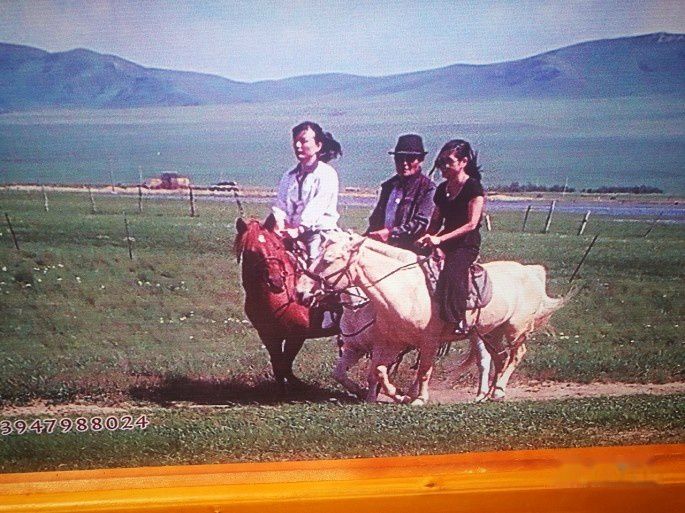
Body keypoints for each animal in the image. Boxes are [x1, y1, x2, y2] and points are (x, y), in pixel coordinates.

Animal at [234, 216, 338, 393]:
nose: (276, 282)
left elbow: (286, 365)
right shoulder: (268, 335)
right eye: (251, 251)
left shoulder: (296, 335)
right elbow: (278, 366)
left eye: (276, 246)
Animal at [296, 231, 572, 405]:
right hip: (488, 333)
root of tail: (531, 272)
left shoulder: (427, 343)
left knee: (516, 355)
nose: (300, 292)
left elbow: (422, 371)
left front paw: (417, 398)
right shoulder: (386, 344)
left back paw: (498, 391)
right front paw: (397, 395)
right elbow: (376, 371)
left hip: (515, 329)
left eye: (328, 260)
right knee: (494, 359)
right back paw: (485, 394)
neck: (406, 289)